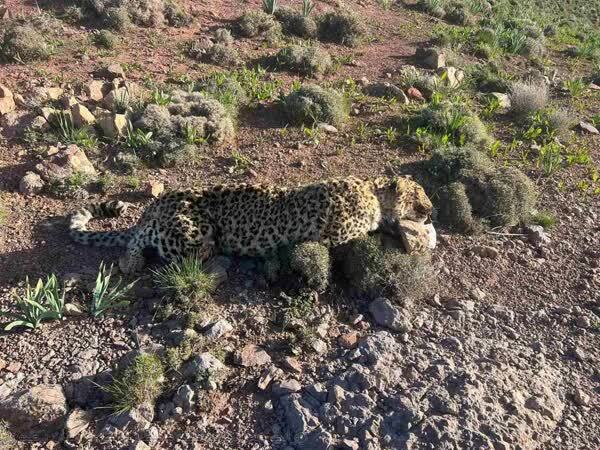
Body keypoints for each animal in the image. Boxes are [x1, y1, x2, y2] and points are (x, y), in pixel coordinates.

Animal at [70, 176, 434, 274]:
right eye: (420, 193)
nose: (431, 209)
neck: (372, 191)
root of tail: (160, 201)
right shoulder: (337, 236)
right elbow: (375, 230)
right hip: (194, 230)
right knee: (143, 235)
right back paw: (130, 261)